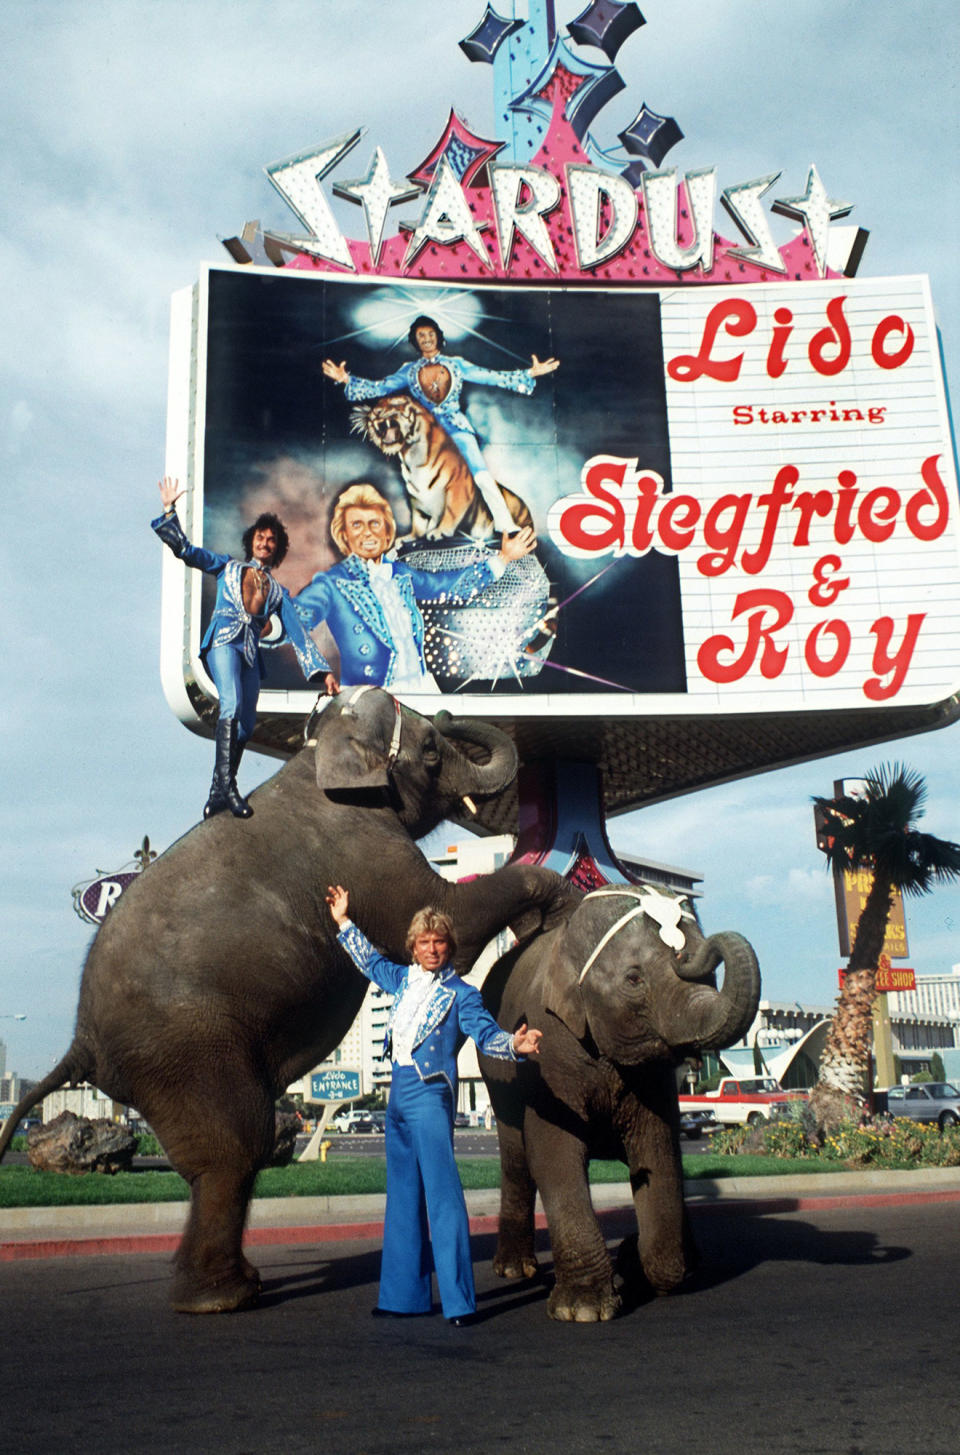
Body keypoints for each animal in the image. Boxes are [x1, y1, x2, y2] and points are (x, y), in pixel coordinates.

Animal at [0, 686, 570, 1315]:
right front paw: (556, 905)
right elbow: (451, 919)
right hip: (186, 1050)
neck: (318, 756)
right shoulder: (364, 851)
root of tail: (80, 1041)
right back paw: (223, 1298)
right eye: (429, 750)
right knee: (233, 1149)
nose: (446, 711)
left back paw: (235, 1286)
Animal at [350, 392, 532, 541]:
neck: (411, 456)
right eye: (375, 406)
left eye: (395, 403)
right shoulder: (416, 499)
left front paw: (439, 532)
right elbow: (418, 521)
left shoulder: (459, 487)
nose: (373, 414)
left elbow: (451, 512)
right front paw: (409, 538)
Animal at [477, 878, 756, 1326]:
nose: (692, 950)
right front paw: (584, 1310)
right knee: (516, 1158)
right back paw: (515, 1269)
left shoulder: (652, 1080)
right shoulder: (549, 1051)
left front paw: (637, 1261)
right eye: (634, 979)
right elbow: (554, 1153)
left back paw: (688, 1260)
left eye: (712, 976)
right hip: (497, 1080)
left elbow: (659, 1152)